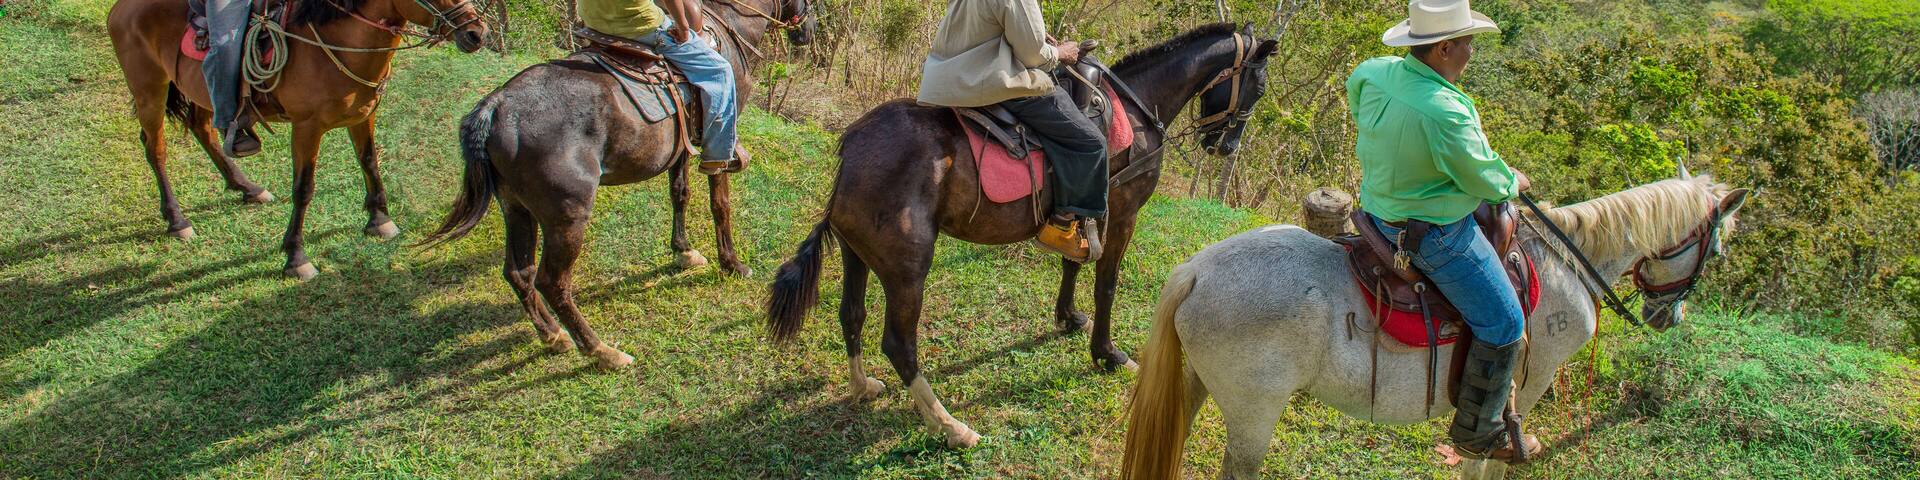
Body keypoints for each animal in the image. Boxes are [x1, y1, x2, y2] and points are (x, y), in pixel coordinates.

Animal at [107, 0, 491, 280]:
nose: (476, 32)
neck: (339, 42)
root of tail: (120, 8)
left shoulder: (364, 113)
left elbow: (369, 162)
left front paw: (379, 219)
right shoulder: (307, 127)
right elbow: (304, 188)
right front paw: (296, 256)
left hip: (199, 90)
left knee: (204, 129)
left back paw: (247, 187)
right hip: (149, 89)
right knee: (155, 148)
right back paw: (177, 220)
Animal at [415, 0, 817, 370]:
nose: (808, 32)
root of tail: (495, 105)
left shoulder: (681, 146)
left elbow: (680, 194)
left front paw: (684, 252)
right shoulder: (720, 134)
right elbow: (720, 204)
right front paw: (732, 264)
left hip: (515, 207)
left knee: (518, 273)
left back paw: (553, 335)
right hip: (566, 216)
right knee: (552, 282)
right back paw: (601, 351)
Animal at [764, 23, 1280, 448]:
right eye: (1258, 86)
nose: (1226, 146)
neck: (1134, 111)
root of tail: (852, 147)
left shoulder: (1086, 203)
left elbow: (1073, 259)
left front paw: (1069, 317)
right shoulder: (1123, 211)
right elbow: (1106, 283)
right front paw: (1107, 353)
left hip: (857, 252)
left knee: (851, 315)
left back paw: (862, 387)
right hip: (907, 264)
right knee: (898, 344)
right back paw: (950, 426)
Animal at [1119, 168, 1752, 479]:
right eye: (1718, 248)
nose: (1667, 315)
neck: (1568, 260)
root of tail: (1196, 271)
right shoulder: (1528, 383)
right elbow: (1485, 459)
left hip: (1196, 385)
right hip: (1254, 410)